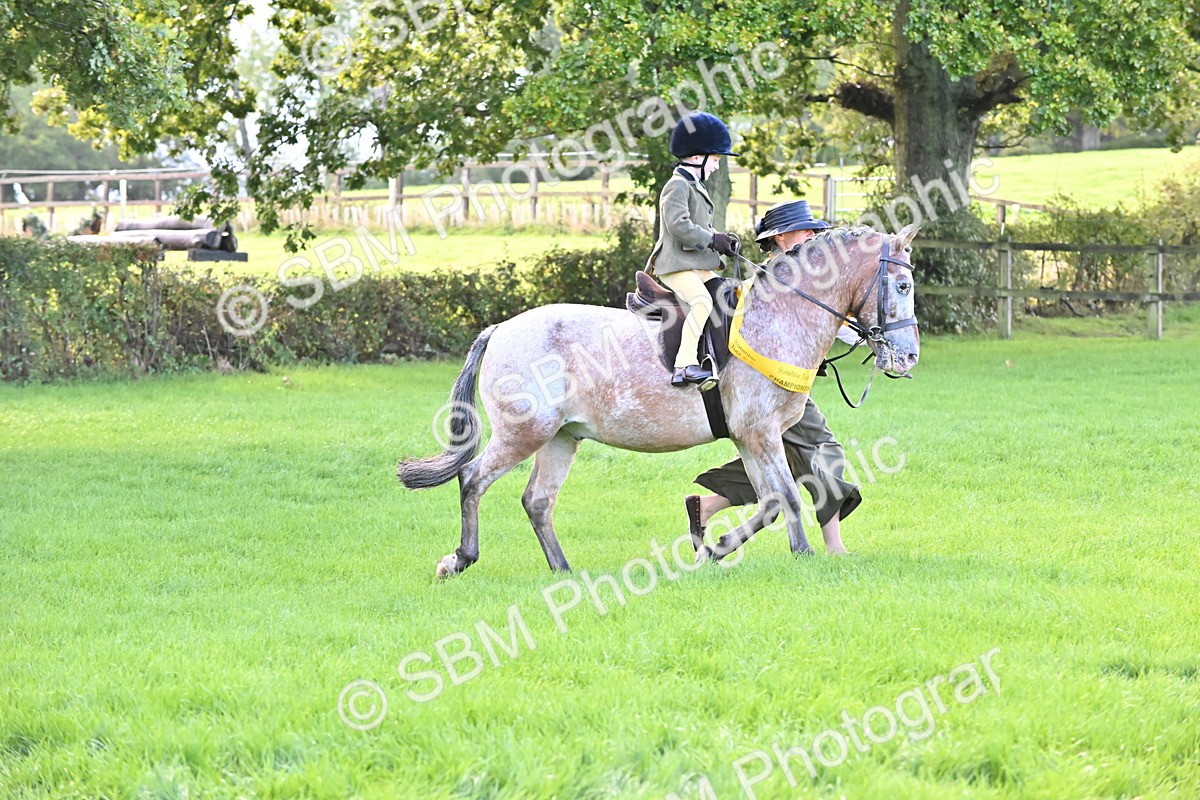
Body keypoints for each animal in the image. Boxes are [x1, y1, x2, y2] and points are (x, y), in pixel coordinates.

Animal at [398, 224, 921, 577]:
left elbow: (773, 501)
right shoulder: (760, 432)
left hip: (560, 438)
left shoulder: (752, 437)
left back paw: (563, 569)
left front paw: (717, 547)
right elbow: (789, 496)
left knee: (537, 501)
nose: (908, 356)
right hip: (523, 433)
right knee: (473, 479)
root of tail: (501, 329)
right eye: (903, 285)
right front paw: (802, 555)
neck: (777, 317)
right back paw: (460, 559)